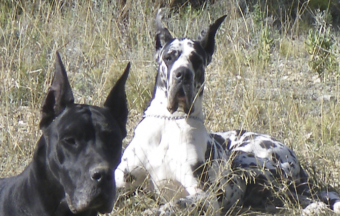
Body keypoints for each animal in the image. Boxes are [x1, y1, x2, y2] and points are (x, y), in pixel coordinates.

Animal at [114, 11, 340, 213]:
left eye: (197, 60)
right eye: (169, 57)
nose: (182, 74)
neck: (170, 121)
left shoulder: (205, 195)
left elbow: (175, 204)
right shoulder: (119, 180)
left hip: (244, 159)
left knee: (304, 196)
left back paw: (315, 208)